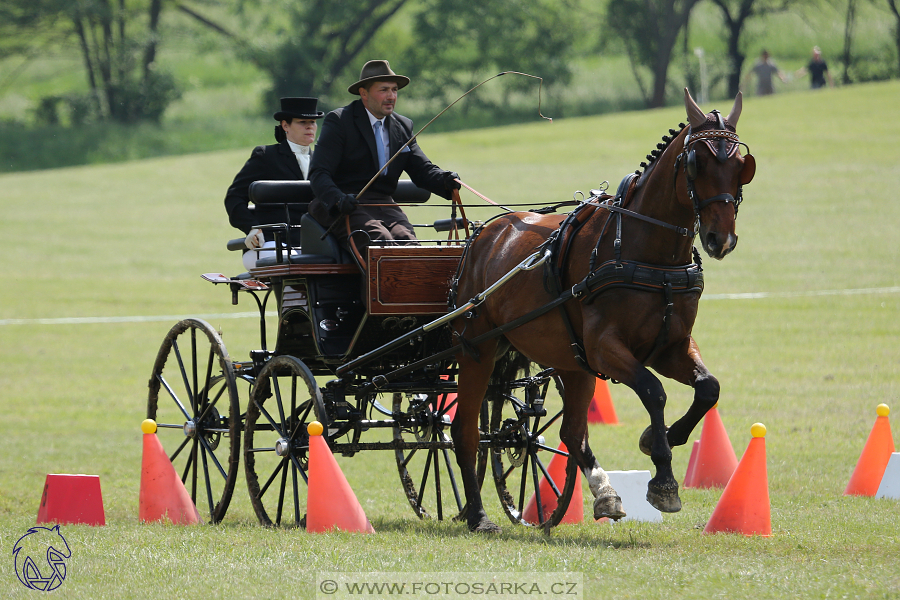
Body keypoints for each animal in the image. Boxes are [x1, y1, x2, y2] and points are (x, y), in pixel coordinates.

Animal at [448, 88, 752, 528]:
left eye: (742, 166)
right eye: (697, 163)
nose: (720, 238)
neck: (647, 251)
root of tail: (484, 232)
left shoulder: (669, 346)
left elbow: (708, 387)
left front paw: (662, 437)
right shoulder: (607, 348)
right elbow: (653, 391)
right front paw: (663, 478)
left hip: (570, 361)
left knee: (572, 433)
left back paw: (605, 494)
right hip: (478, 349)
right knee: (465, 431)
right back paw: (477, 513)